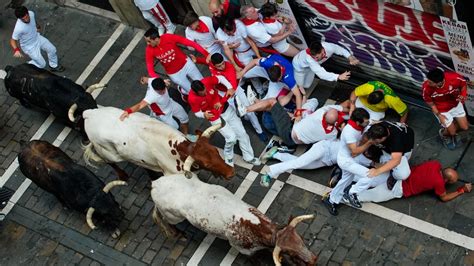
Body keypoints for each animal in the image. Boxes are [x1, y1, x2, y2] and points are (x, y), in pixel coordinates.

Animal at [83, 107, 235, 180]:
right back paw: (122, 175)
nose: (231, 173)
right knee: (109, 162)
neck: (177, 149)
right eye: (207, 164)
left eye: (216, 151)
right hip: (107, 152)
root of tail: (89, 113)